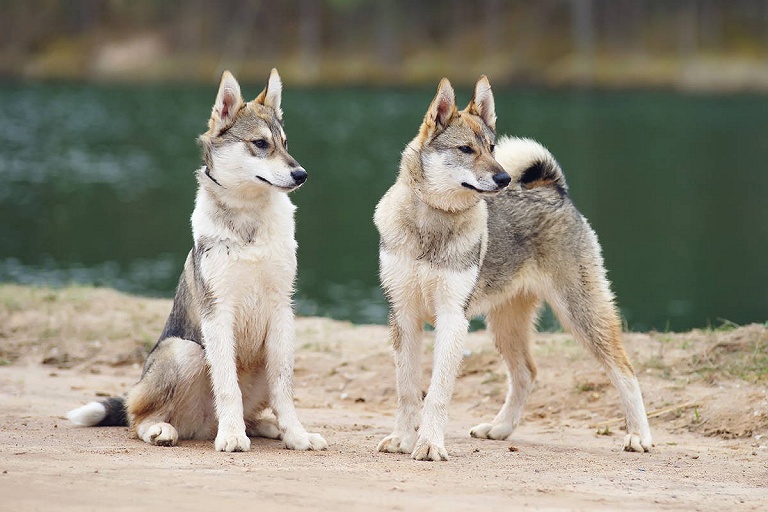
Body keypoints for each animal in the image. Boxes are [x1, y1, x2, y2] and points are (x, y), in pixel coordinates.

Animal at [68, 68, 328, 452]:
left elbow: (285, 389)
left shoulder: (283, 309)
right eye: (260, 144)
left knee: (255, 412)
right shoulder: (217, 312)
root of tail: (202, 427)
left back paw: (267, 428)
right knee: (137, 419)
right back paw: (166, 430)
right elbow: (228, 386)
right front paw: (232, 436)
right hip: (185, 352)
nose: (302, 175)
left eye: (285, 143)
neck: (248, 222)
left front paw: (296, 434)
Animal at [376, 75, 652, 460]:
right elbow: (406, 390)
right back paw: (500, 428)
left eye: (492, 148)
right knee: (526, 374)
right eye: (466, 149)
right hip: (506, 324)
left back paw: (639, 436)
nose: (504, 178)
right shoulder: (403, 315)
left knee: (624, 370)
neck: (433, 222)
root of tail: (555, 189)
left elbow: (437, 394)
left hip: (581, 313)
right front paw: (402, 439)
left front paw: (430, 444)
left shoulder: (452, 318)